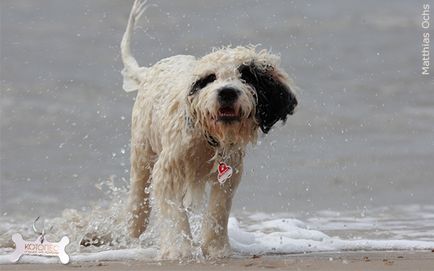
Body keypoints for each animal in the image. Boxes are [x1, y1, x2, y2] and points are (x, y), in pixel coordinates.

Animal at [121, 0, 298, 262]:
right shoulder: (169, 167)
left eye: (246, 75)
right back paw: (134, 228)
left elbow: (218, 209)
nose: (227, 92)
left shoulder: (230, 171)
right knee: (138, 192)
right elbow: (172, 209)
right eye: (210, 78)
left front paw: (216, 248)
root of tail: (150, 71)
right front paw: (178, 249)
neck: (208, 138)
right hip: (143, 147)